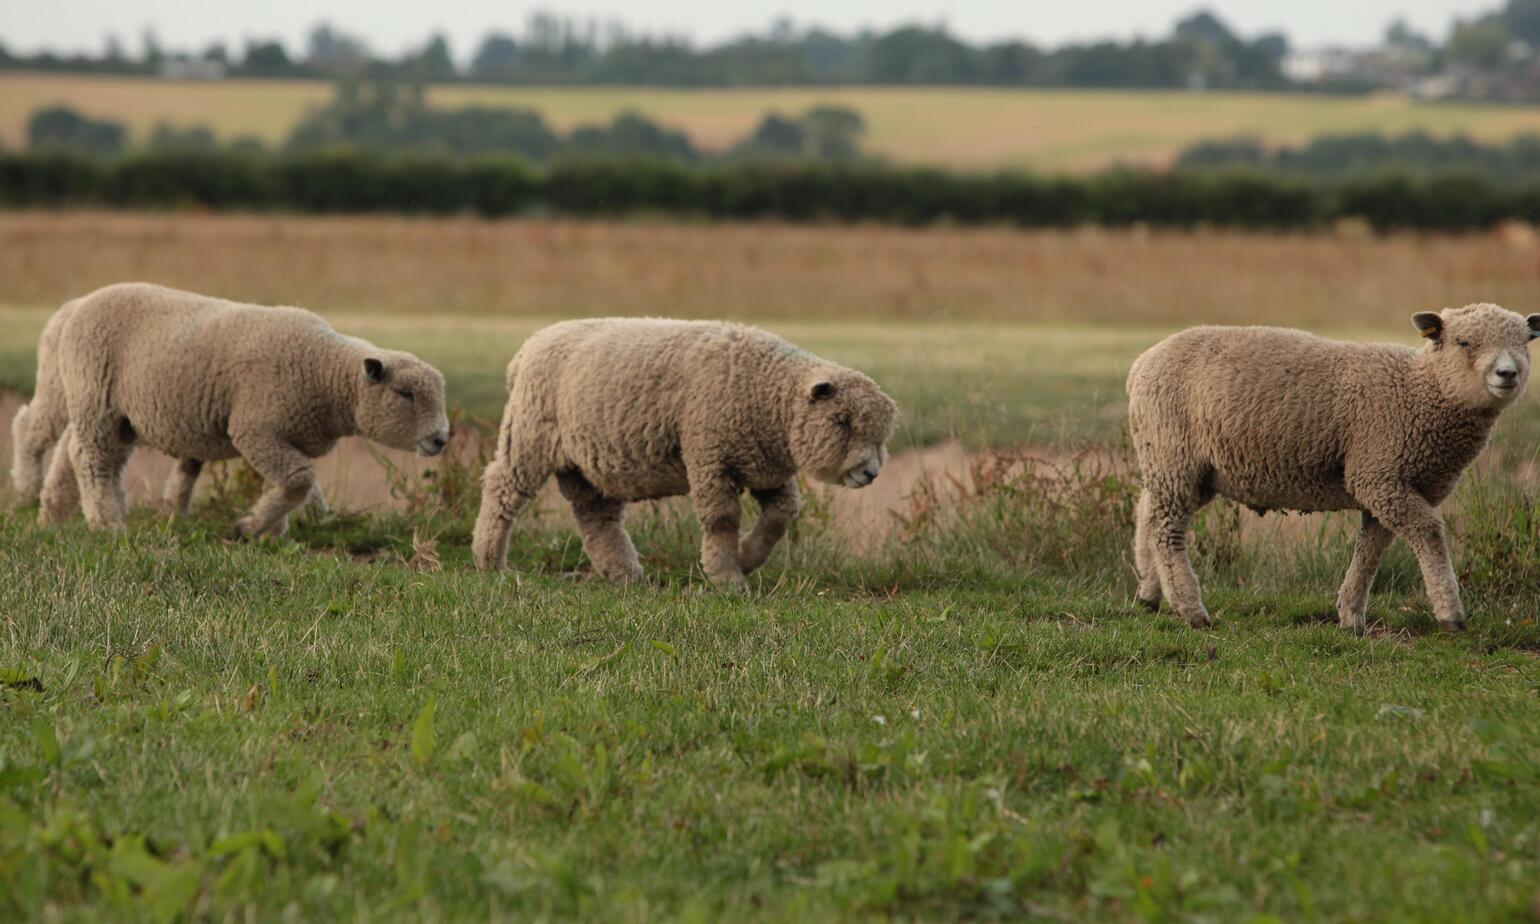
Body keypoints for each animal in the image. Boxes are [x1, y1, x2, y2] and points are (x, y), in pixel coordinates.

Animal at [15, 284, 449, 539]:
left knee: (72, 449)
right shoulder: (255, 428)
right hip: (92, 395)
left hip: (101, 405)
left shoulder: (283, 436)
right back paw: (95, 518)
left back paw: (53, 512)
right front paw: (249, 527)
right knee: (75, 450)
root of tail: (77, 305)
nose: (441, 439)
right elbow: (298, 480)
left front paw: (274, 529)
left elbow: (293, 484)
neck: (325, 374)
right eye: (406, 394)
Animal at [1127, 306, 1533, 631]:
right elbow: (1428, 532)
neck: (1418, 390)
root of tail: (1141, 364)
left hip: (1179, 463)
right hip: (1173, 452)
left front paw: (1351, 614)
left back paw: (1149, 594)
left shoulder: (1387, 487)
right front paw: (1451, 614)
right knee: (1166, 528)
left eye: (1526, 343)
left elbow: (1371, 550)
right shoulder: (1377, 475)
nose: (1507, 373)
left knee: (1147, 510)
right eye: (1464, 342)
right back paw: (1191, 609)